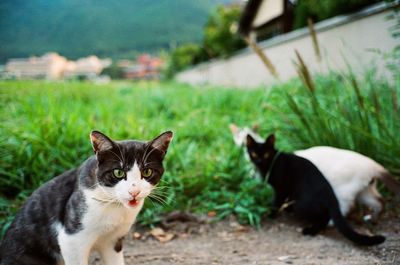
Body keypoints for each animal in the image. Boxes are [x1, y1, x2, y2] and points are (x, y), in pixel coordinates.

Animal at [0, 130, 172, 264]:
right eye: (118, 172)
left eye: (147, 172)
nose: (134, 191)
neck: (113, 206)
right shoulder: (71, 240)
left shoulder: (113, 241)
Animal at [245, 133, 386, 244]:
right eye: (254, 153)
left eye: (266, 154)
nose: (258, 161)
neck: (270, 164)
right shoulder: (288, 190)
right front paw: (285, 210)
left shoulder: (281, 188)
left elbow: (276, 202)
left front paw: (270, 214)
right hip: (365, 192)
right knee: (378, 201)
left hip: (303, 205)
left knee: (326, 216)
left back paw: (310, 230)